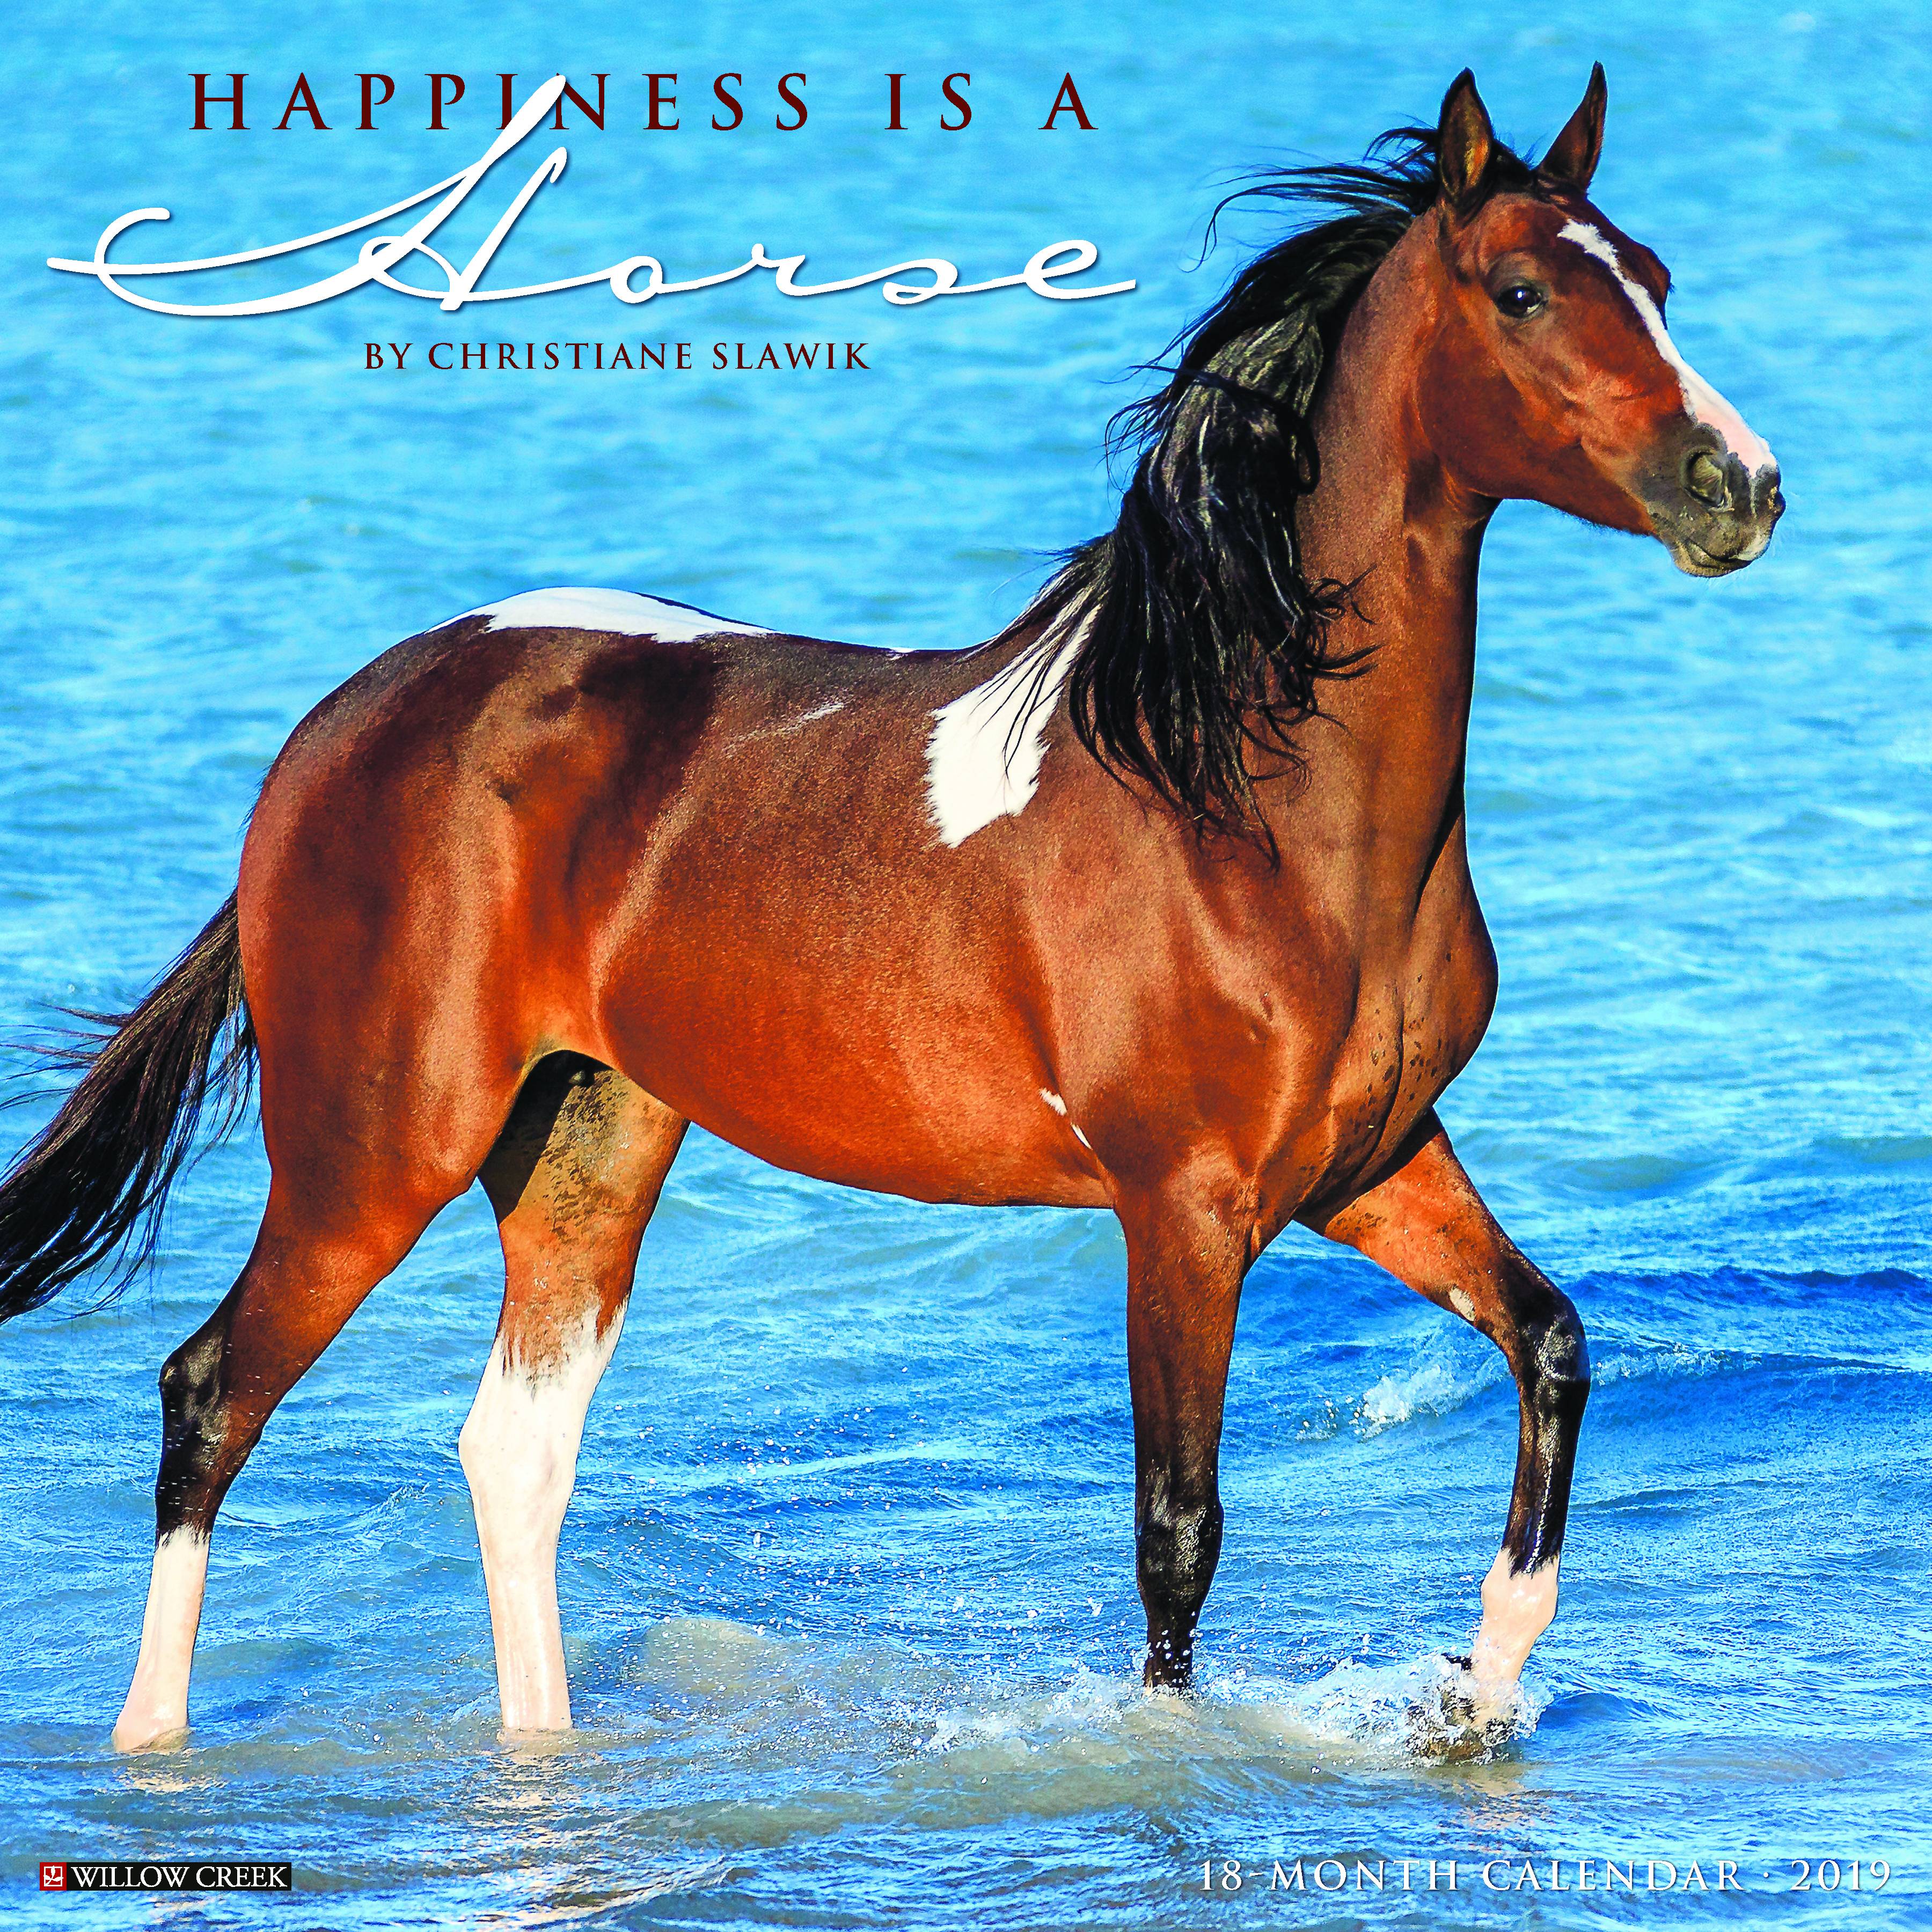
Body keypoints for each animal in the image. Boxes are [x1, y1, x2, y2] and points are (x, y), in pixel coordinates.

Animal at [0, 66, 1781, 1752]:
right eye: (1523, 294)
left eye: (1658, 279)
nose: (1739, 486)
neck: (1251, 799)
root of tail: (335, 733)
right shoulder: (1182, 1209)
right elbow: (1178, 1535)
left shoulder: (1374, 1168)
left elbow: (1552, 1346)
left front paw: (1479, 1695)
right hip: (376, 1151)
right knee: (211, 1398)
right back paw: (152, 1747)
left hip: (586, 1143)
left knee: (511, 1453)